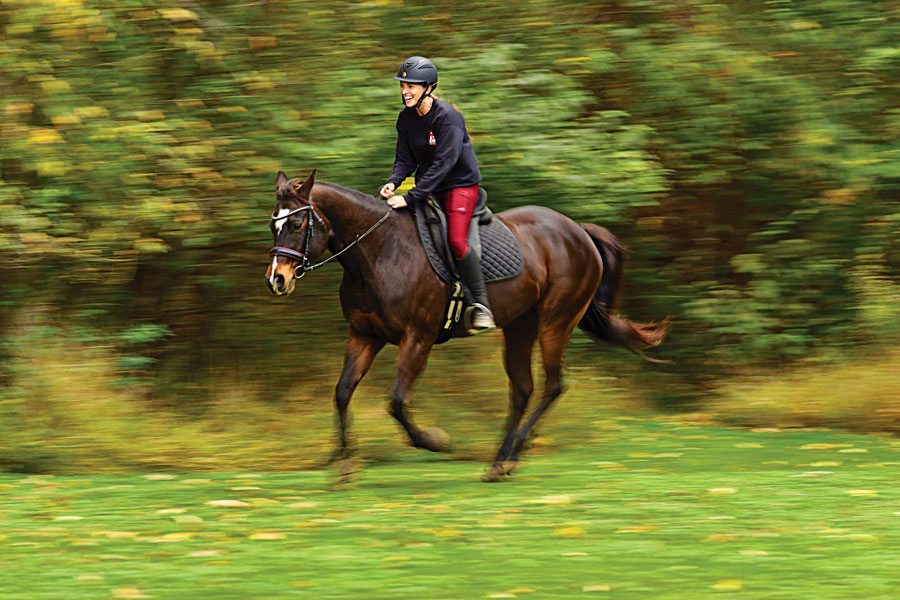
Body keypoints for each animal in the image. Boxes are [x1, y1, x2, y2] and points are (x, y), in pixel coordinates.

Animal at [264, 169, 664, 482]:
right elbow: (343, 392)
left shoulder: (418, 338)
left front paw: (434, 441)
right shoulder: (364, 336)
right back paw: (501, 460)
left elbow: (396, 401)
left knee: (552, 386)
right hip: (520, 326)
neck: (379, 252)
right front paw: (346, 464)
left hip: (556, 323)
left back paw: (512, 455)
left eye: (297, 223)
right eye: (273, 224)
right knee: (523, 389)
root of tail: (578, 231)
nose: (277, 280)